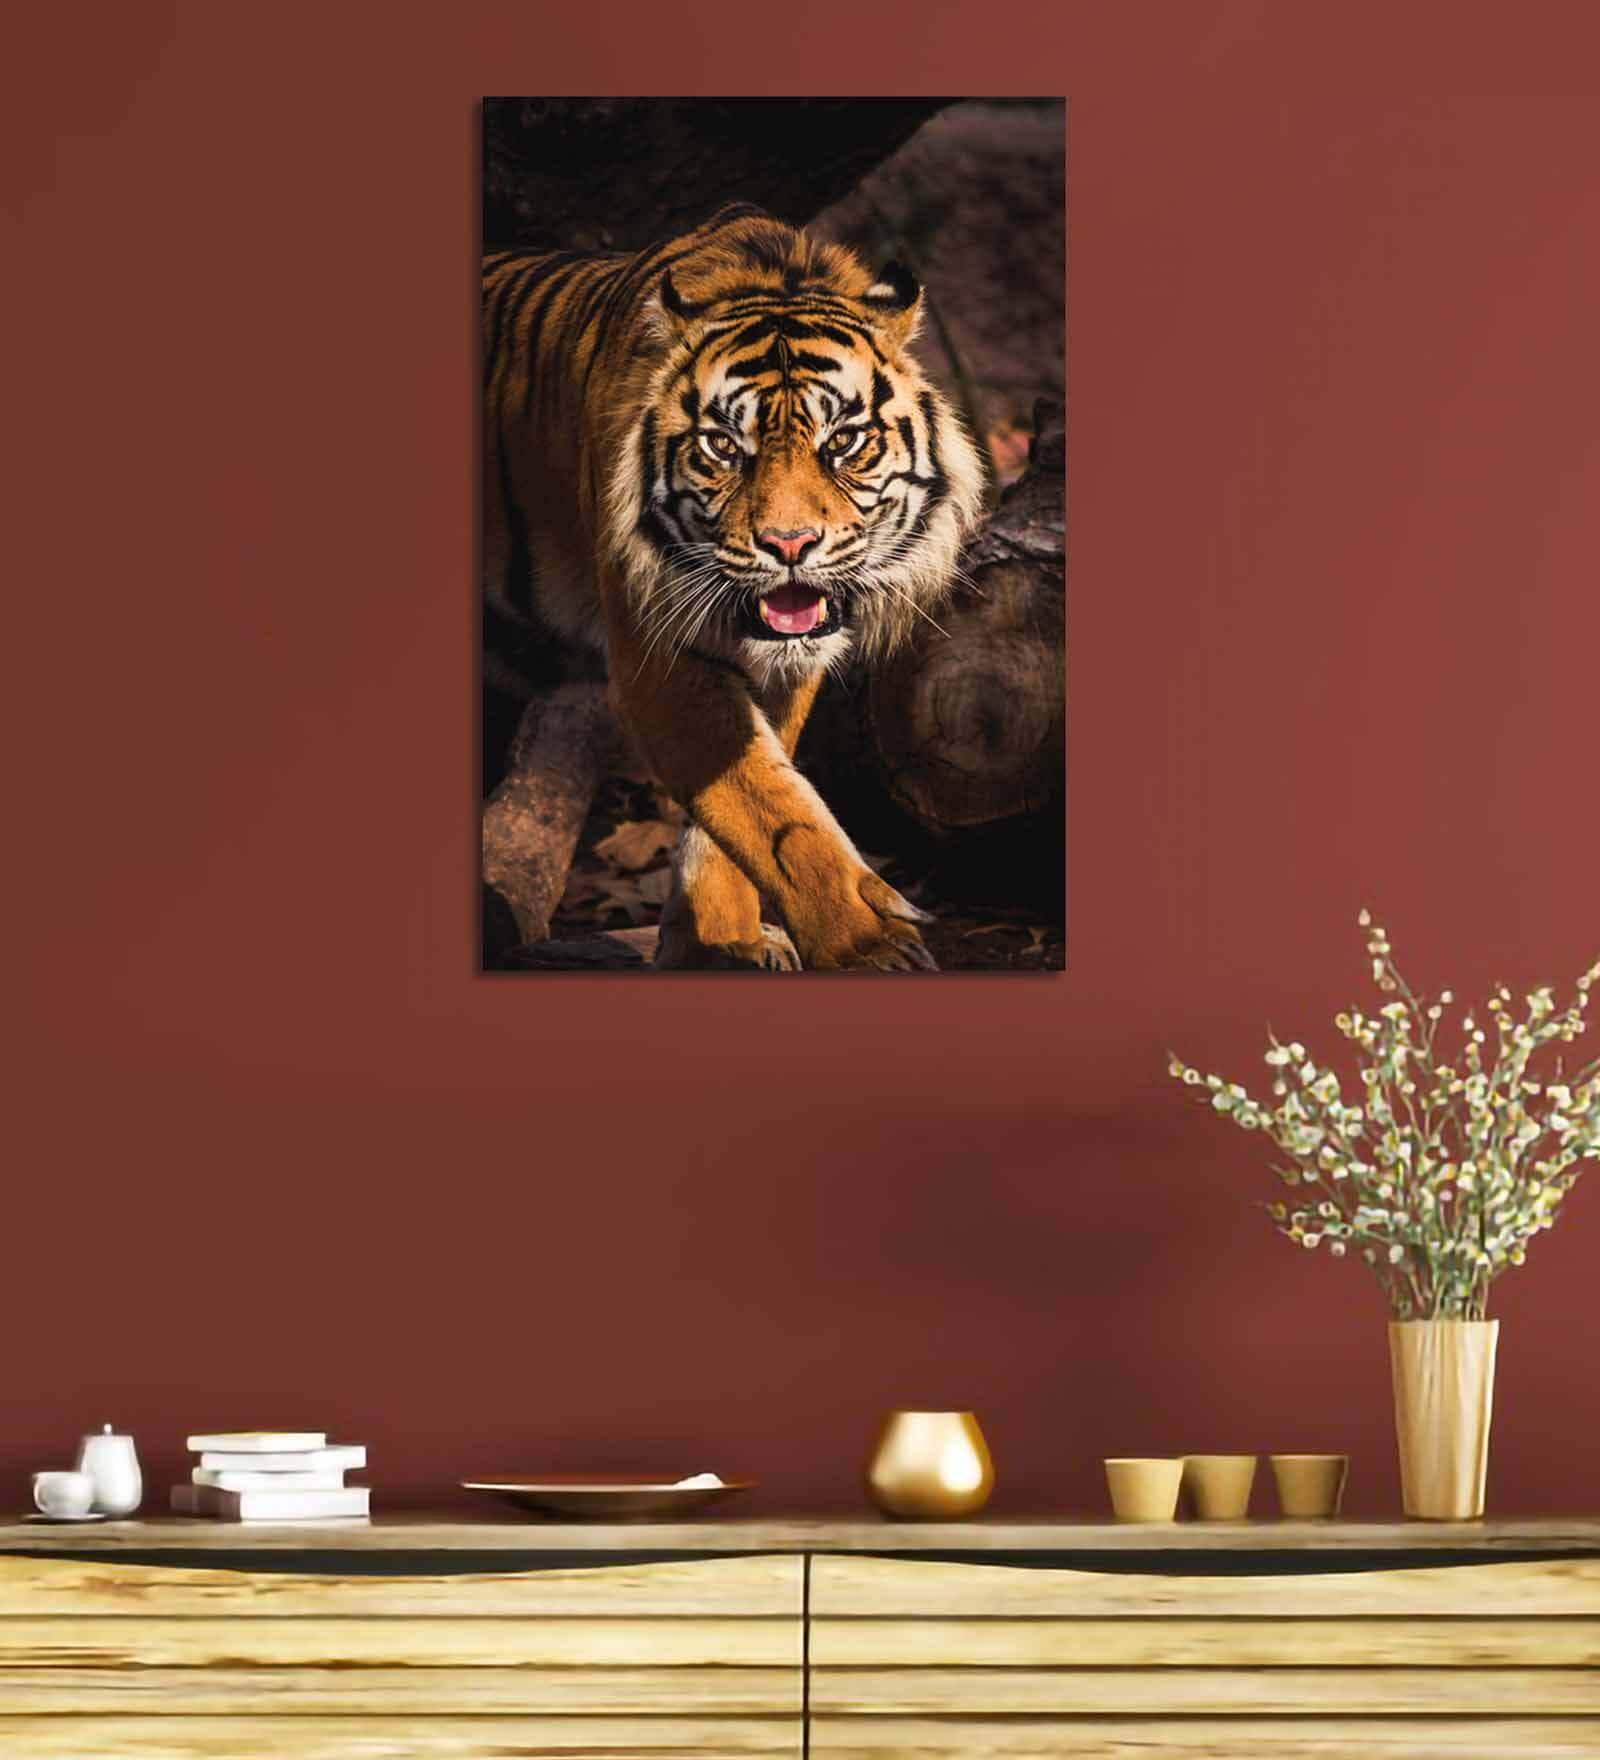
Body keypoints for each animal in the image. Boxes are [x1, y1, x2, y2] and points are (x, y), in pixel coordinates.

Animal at [484, 203, 986, 971]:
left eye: (842, 443)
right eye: (724, 448)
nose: (789, 545)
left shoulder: (784, 669)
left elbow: (752, 794)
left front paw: (720, 942)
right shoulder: (656, 657)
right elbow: (765, 806)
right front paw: (866, 941)